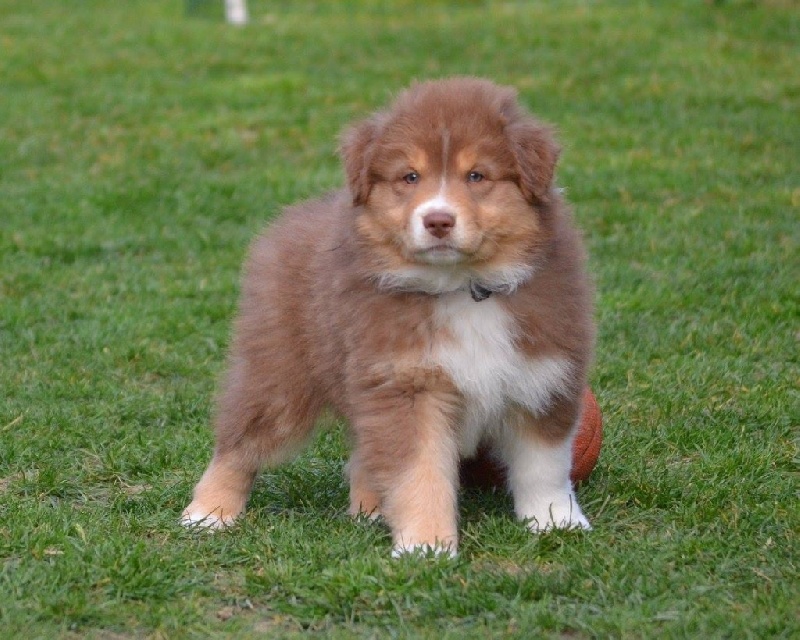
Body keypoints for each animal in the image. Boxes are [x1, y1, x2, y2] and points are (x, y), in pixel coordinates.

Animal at [182, 78, 595, 556]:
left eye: (477, 176)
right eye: (409, 177)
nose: (438, 220)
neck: (462, 289)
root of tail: (291, 218)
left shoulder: (543, 376)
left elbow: (544, 465)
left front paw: (555, 522)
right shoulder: (408, 385)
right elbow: (420, 474)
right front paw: (426, 546)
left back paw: (371, 508)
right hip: (280, 373)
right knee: (240, 443)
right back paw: (208, 513)